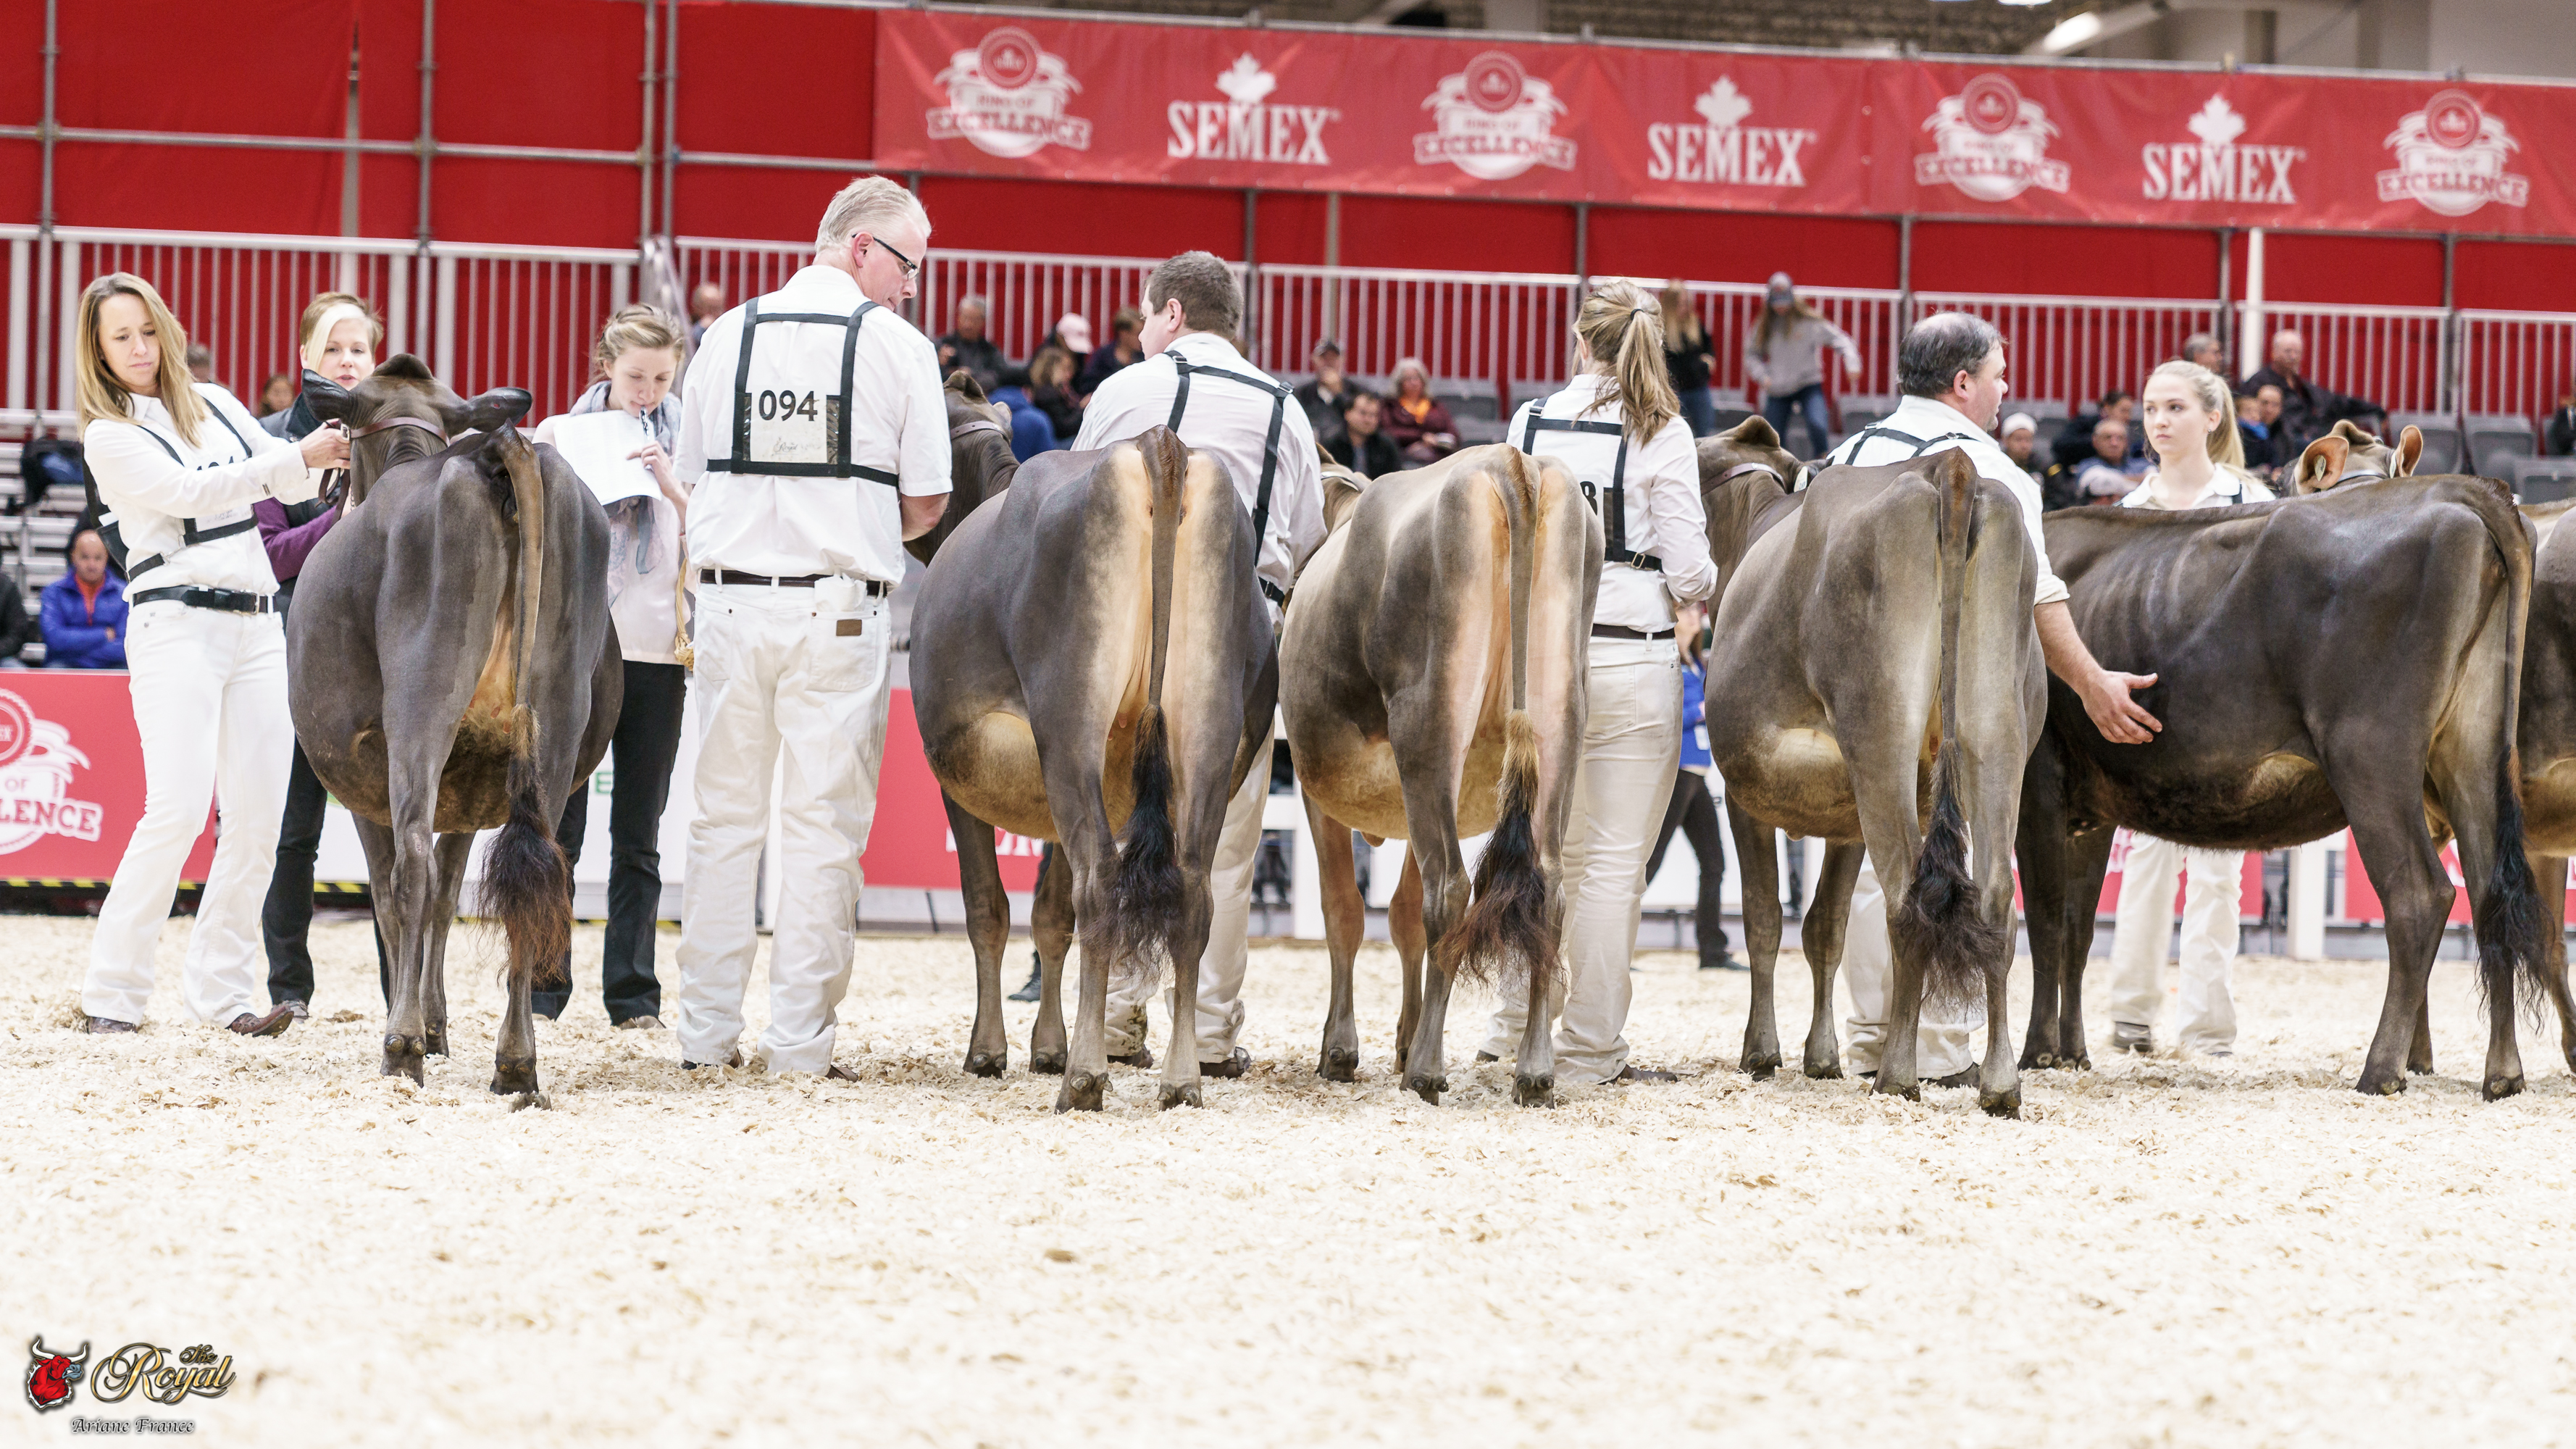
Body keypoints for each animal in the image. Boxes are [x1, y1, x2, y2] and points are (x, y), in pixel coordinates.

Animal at [289, 356, 619, 1103]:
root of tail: (501, 449)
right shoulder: (471, 789)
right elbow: (448, 894)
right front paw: (440, 1025)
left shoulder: (368, 786)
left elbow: (394, 894)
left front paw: (419, 1025)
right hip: (554, 717)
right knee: (540, 870)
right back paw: (517, 1063)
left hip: (423, 701)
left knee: (411, 859)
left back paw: (401, 1047)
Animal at [911, 426, 1275, 1112]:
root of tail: (1158, 444)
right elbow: (1052, 917)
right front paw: (1047, 1047)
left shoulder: (956, 780)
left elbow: (988, 909)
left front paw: (992, 1053)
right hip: (1210, 732)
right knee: (1193, 892)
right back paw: (1181, 1080)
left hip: (1069, 729)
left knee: (1100, 881)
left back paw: (1084, 1078)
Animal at [1281, 444, 1597, 1106]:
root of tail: (1511, 464)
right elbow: (1400, 916)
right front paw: (1398, 1039)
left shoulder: (1314, 787)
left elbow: (1343, 909)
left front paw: (1341, 1050)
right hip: (1559, 710)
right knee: (1548, 888)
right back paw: (1533, 1072)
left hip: (1429, 719)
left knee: (1448, 888)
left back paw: (1427, 1069)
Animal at [1698, 417, 2049, 1114]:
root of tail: (1948, 469)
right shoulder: (1844, 819)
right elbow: (1824, 927)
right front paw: (1821, 1057)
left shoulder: (1745, 793)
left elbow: (1765, 919)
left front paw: (1763, 1054)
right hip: (1993, 729)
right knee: (1996, 898)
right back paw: (1999, 1084)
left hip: (1878, 735)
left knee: (1906, 903)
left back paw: (1897, 1076)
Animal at [2015, 463, 2545, 1098]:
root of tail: (2455, 488)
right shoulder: (2091, 810)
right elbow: (2078, 930)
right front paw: (2073, 1053)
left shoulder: (2037, 783)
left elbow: (2045, 920)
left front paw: (2039, 1053)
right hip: (2472, 750)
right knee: (2492, 897)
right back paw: (2504, 1073)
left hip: (2369, 751)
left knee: (2420, 894)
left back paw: (2380, 1071)